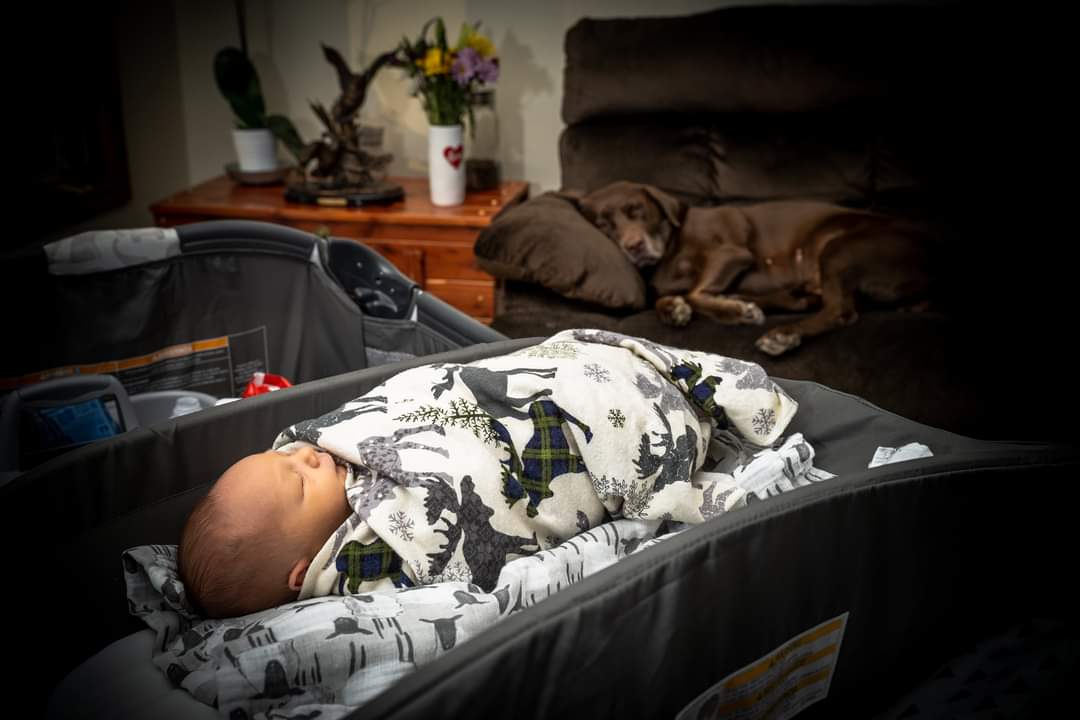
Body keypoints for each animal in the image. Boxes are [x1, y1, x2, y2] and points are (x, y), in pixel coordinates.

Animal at [576, 181, 935, 356]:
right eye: (605, 225)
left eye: (637, 210)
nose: (633, 247)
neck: (671, 249)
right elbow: (671, 297)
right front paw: (674, 309)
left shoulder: (731, 254)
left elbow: (696, 291)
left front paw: (731, 311)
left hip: (840, 248)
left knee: (840, 310)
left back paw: (782, 334)